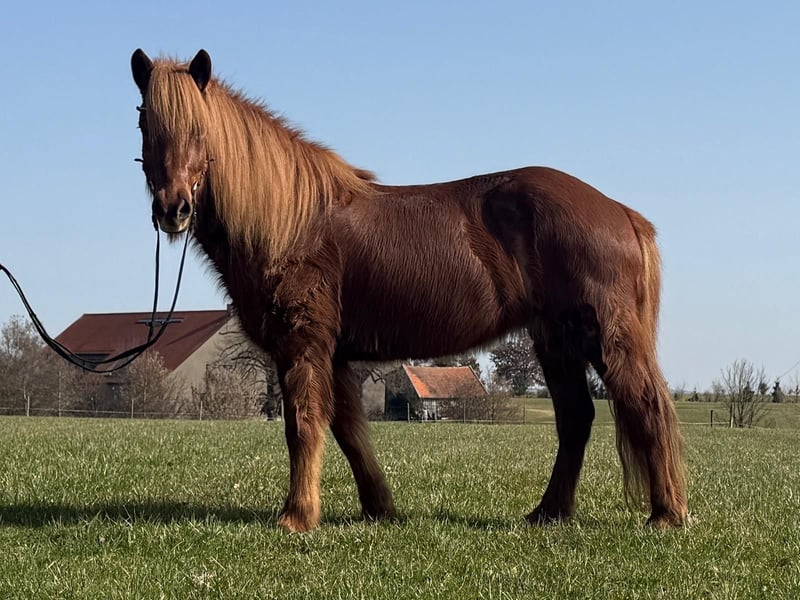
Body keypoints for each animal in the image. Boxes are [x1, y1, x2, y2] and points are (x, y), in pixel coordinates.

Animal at [130, 48, 687, 532]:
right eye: (145, 125)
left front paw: (297, 517)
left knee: (647, 407)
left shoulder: (304, 343)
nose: (173, 209)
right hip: (556, 340)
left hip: (603, 335)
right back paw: (548, 513)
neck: (293, 222)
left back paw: (666, 515)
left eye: (199, 129)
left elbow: (304, 424)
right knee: (576, 418)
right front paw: (379, 508)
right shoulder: (335, 355)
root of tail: (620, 212)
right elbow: (350, 432)